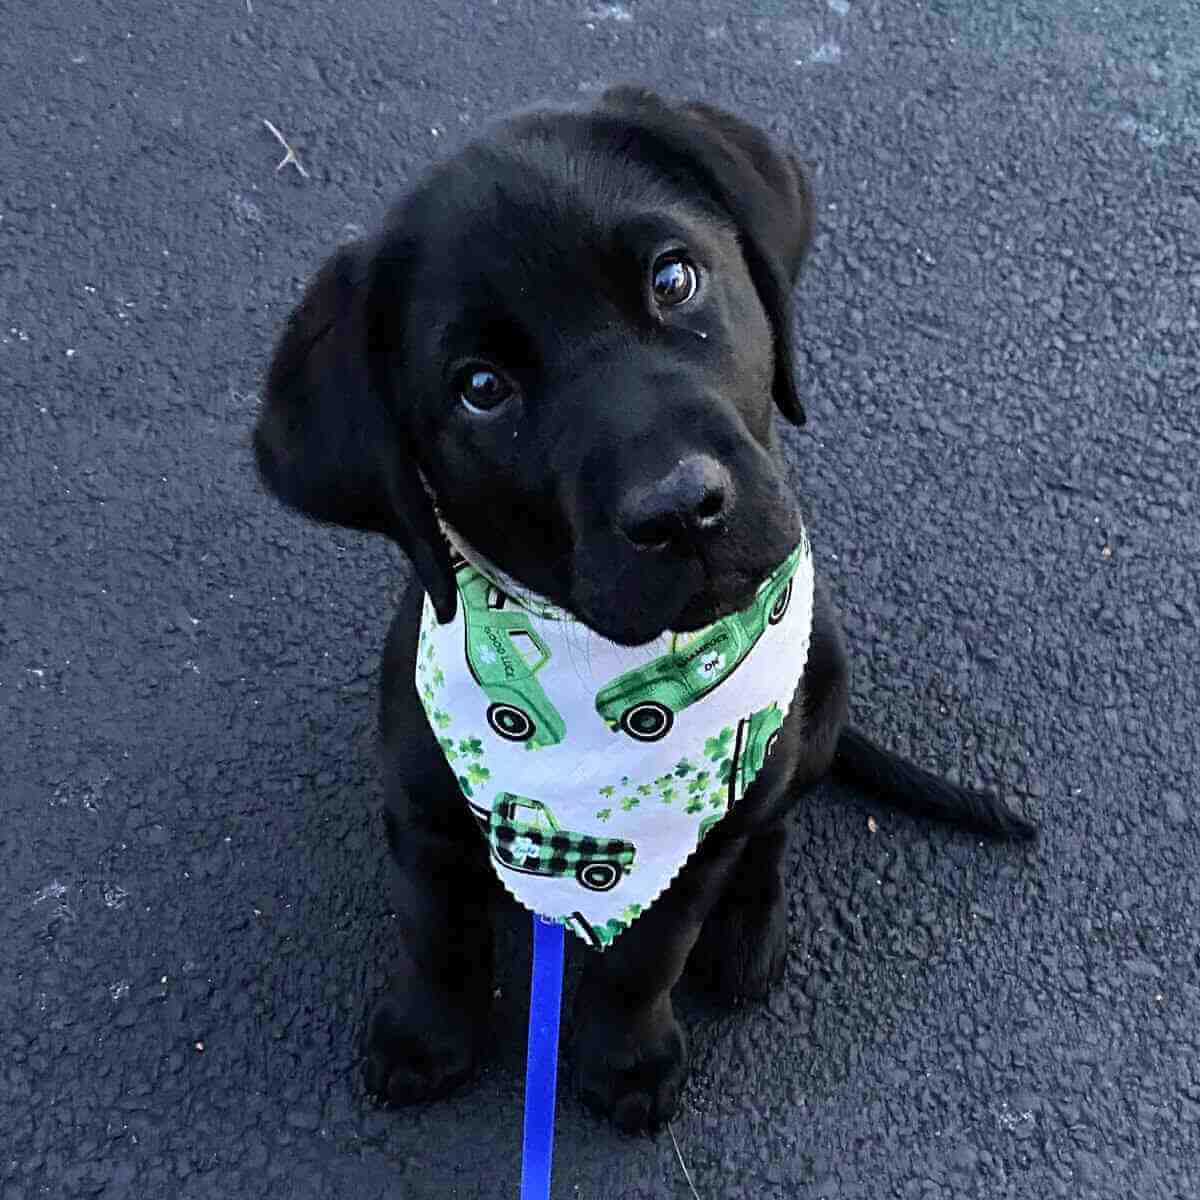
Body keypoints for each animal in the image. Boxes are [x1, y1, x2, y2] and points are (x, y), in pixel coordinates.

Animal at [255, 87, 1041, 1132]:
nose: (682, 510)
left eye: (674, 279)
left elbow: (646, 957)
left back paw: (749, 935)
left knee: (773, 823)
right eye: (480, 390)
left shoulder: (689, 852)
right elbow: (436, 930)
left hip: (819, 689)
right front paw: (427, 1037)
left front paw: (625, 1059)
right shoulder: (420, 805)